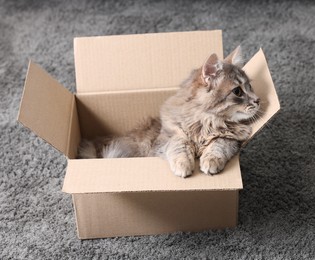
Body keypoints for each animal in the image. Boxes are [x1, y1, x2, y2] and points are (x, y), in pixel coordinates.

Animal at [78, 45, 262, 178]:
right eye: (237, 91)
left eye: (250, 86)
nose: (257, 100)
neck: (205, 121)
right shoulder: (166, 137)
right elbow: (178, 145)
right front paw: (183, 165)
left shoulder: (232, 140)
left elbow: (219, 144)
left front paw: (210, 161)